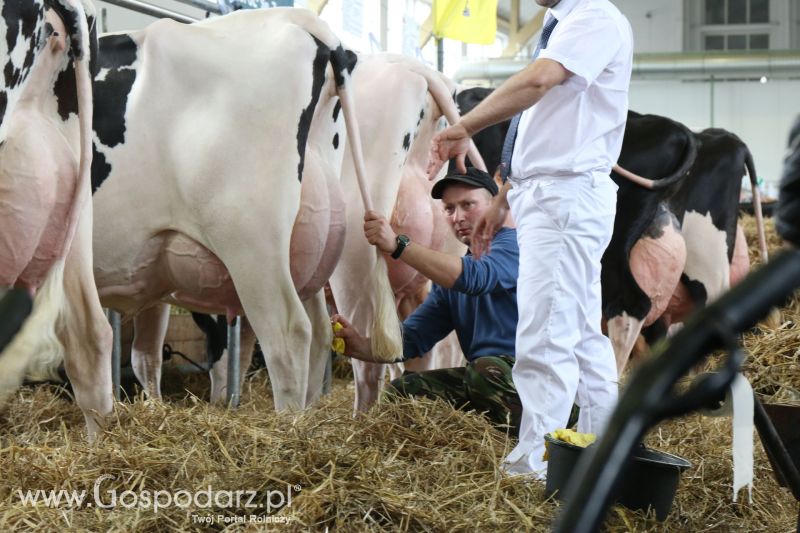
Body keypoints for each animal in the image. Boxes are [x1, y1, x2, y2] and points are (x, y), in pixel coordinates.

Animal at [90, 7, 400, 408]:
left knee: (289, 334)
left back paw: (286, 418)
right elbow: (146, 355)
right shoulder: (149, 268)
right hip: (310, 253)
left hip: (252, 245)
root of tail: (300, 20)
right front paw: (154, 408)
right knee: (319, 332)